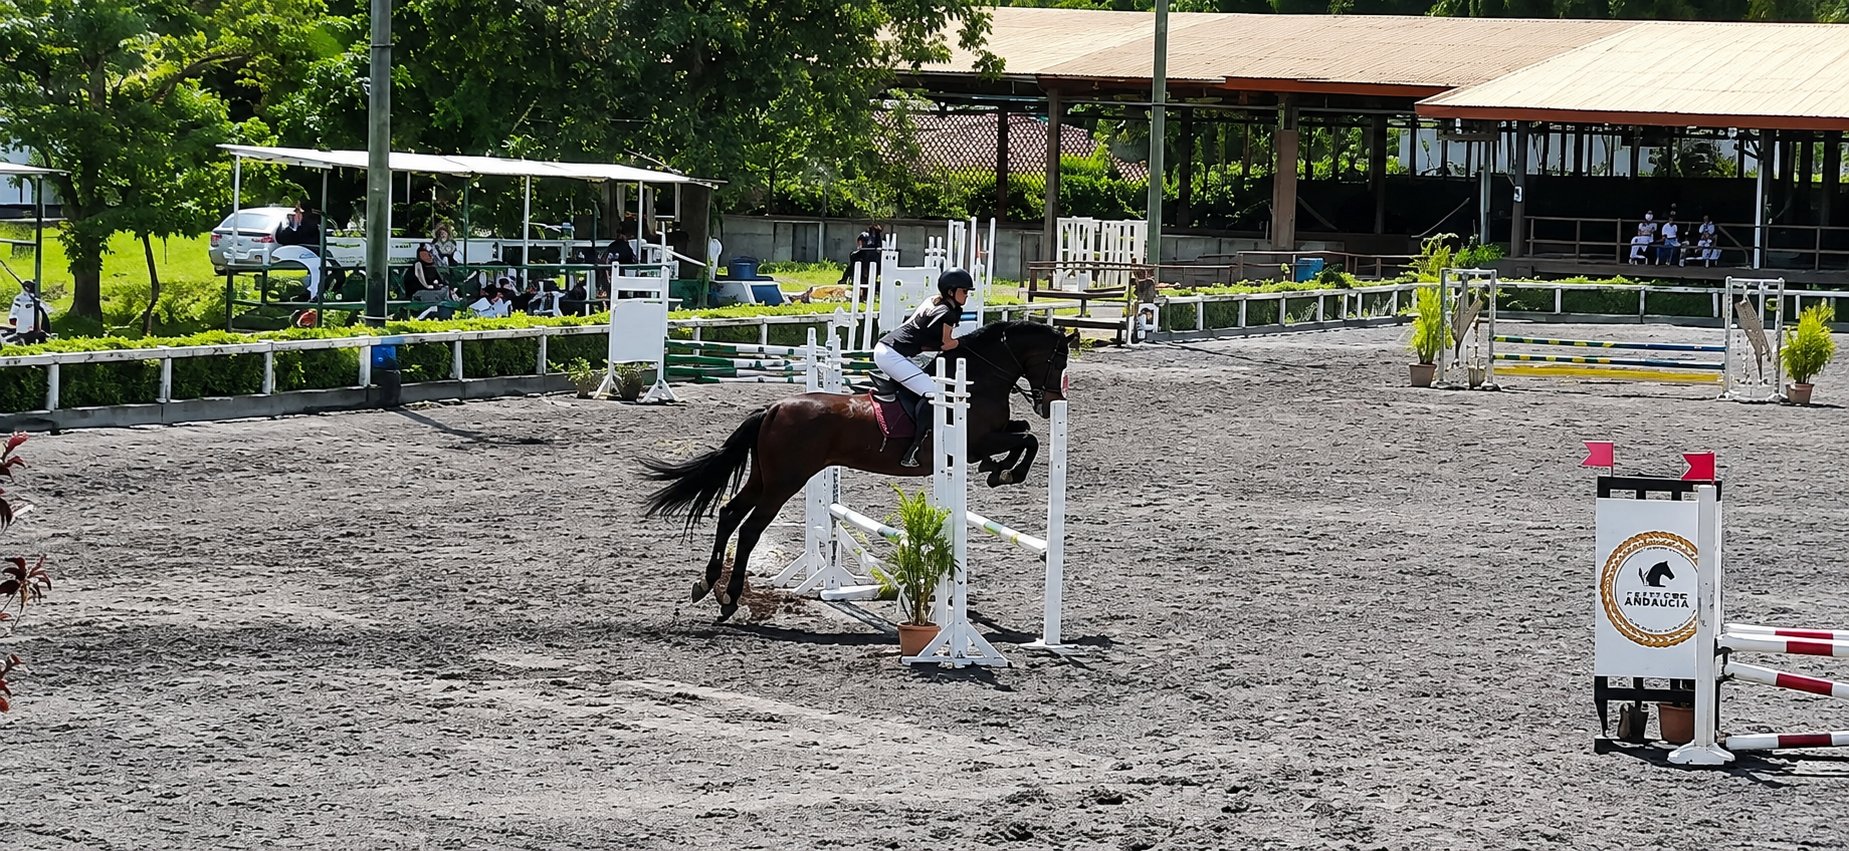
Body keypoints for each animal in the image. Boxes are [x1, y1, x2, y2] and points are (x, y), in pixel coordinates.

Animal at [640, 320, 1078, 622]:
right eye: (1057, 359)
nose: (1050, 403)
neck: (978, 379)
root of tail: (775, 408)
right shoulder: (975, 442)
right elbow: (1028, 439)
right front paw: (1004, 473)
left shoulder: (988, 438)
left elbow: (1024, 433)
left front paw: (998, 470)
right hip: (785, 481)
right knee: (749, 529)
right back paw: (729, 599)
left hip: (765, 477)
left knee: (730, 513)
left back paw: (706, 586)